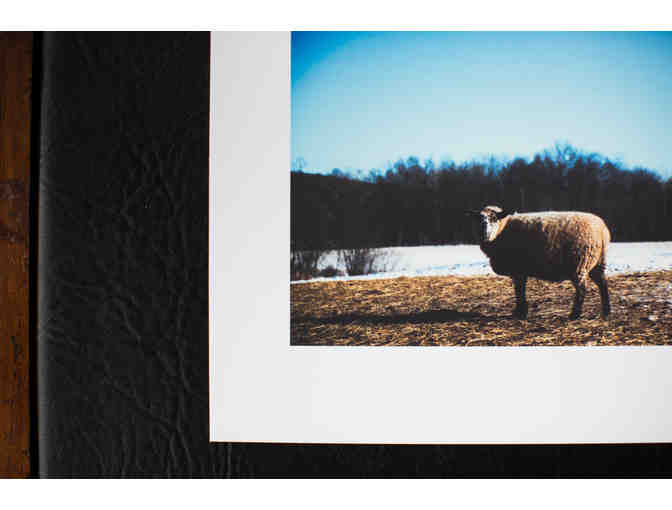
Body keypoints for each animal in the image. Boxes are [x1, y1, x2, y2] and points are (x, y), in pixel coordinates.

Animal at [466, 206, 611, 319]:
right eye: (478, 219)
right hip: (597, 261)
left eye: (494, 218)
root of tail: (603, 230)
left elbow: (519, 291)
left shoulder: (518, 270)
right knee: (603, 284)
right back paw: (606, 311)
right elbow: (520, 290)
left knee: (582, 289)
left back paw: (575, 314)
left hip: (579, 262)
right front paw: (521, 311)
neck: (503, 229)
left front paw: (520, 312)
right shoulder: (520, 271)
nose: (484, 233)